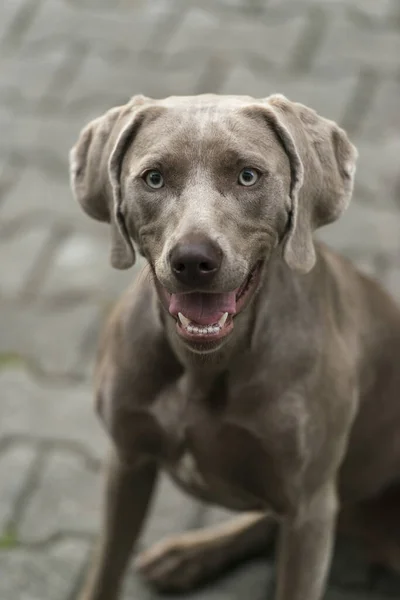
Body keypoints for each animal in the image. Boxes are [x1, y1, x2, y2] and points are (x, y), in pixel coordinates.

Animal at [69, 95, 400, 600]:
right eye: (153, 178)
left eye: (248, 176)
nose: (193, 260)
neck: (203, 366)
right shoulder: (127, 462)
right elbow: (106, 570)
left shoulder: (309, 506)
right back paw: (187, 556)